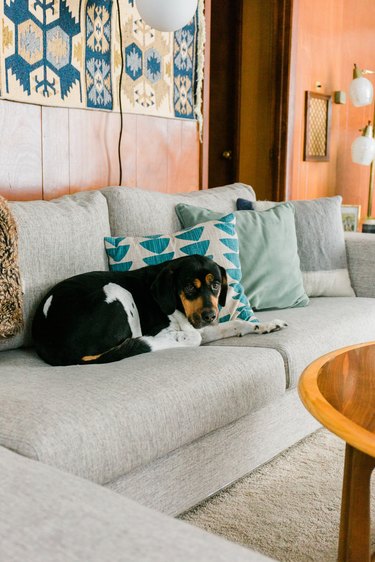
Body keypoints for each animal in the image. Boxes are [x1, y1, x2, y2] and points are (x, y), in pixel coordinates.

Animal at [32, 255, 286, 368]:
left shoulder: (204, 327)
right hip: (117, 290)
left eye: (215, 285)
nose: (210, 316)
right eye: (188, 287)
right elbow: (190, 335)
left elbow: (237, 323)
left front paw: (265, 325)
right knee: (139, 341)